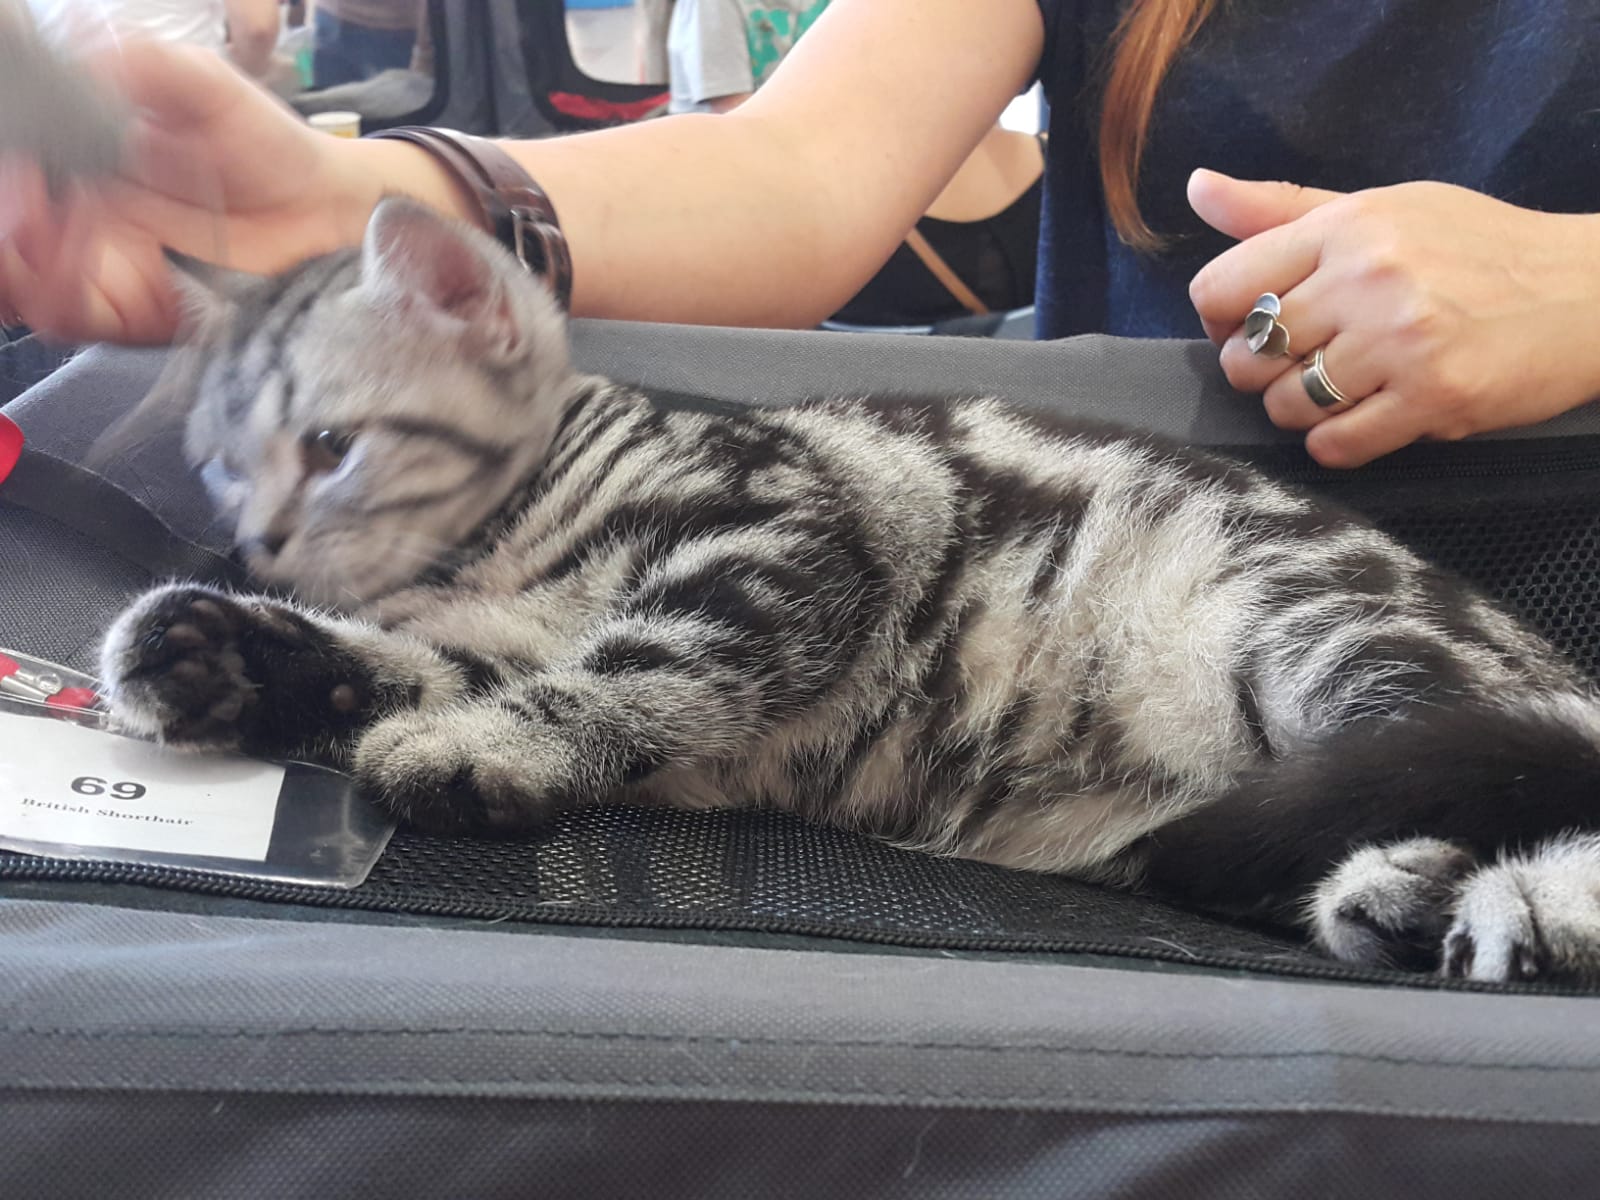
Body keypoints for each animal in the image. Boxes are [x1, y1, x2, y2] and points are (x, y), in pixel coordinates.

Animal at [95, 196, 1600, 985]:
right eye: (220, 465)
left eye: (328, 446)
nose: (257, 544)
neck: (502, 548)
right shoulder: (491, 635)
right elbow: (405, 667)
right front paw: (222, 654)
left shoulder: (779, 545)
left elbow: (634, 670)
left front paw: (485, 749)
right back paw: (1399, 895)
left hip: (1328, 633)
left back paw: (1513, 907)